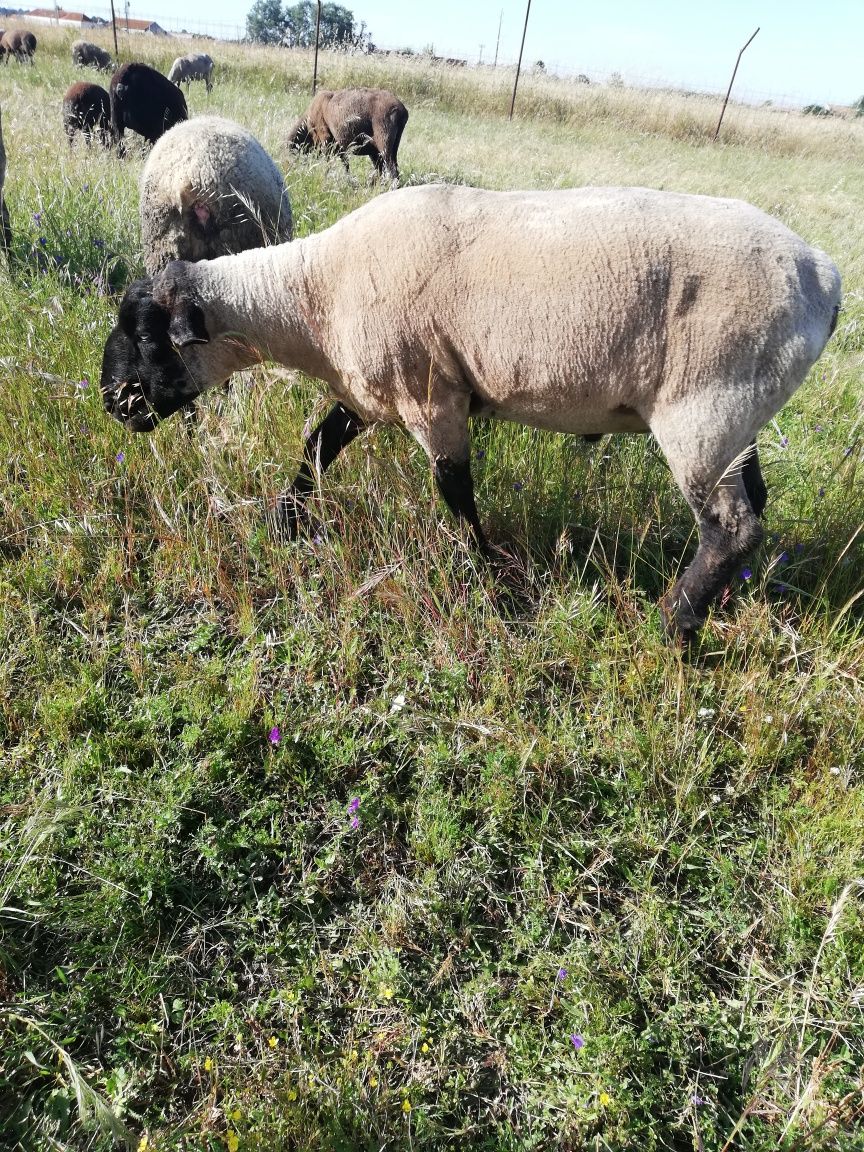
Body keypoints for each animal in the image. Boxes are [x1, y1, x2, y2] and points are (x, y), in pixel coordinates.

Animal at [97, 184, 843, 645]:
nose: (113, 402)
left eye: (146, 336)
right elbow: (318, 444)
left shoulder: (432, 396)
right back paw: (716, 605)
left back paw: (673, 624)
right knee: (752, 505)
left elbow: (454, 488)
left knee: (731, 528)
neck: (308, 297)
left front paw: (488, 573)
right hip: (739, 412)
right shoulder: (372, 391)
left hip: (705, 408)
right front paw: (287, 520)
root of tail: (824, 276)